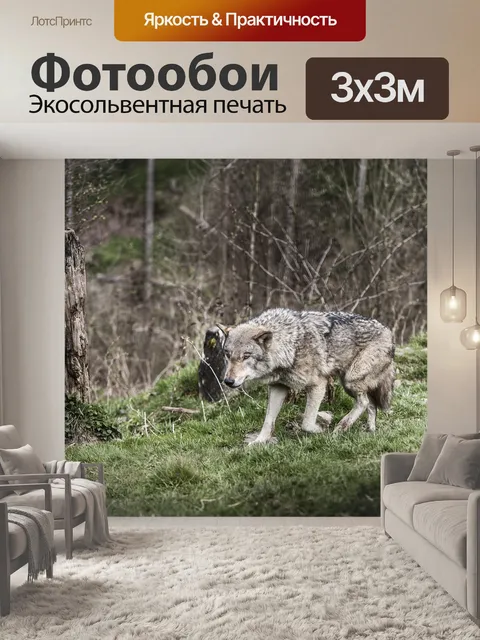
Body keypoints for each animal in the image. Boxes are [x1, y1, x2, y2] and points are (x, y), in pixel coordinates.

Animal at [221, 308, 395, 445]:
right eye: (227, 354)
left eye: (246, 356)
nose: (228, 381)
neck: (291, 346)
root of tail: (388, 331)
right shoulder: (278, 387)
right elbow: (268, 421)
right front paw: (258, 442)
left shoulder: (318, 385)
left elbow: (307, 423)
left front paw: (320, 431)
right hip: (349, 383)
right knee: (371, 403)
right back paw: (369, 430)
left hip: (350, 380)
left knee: (364, 402)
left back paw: (340, 428)